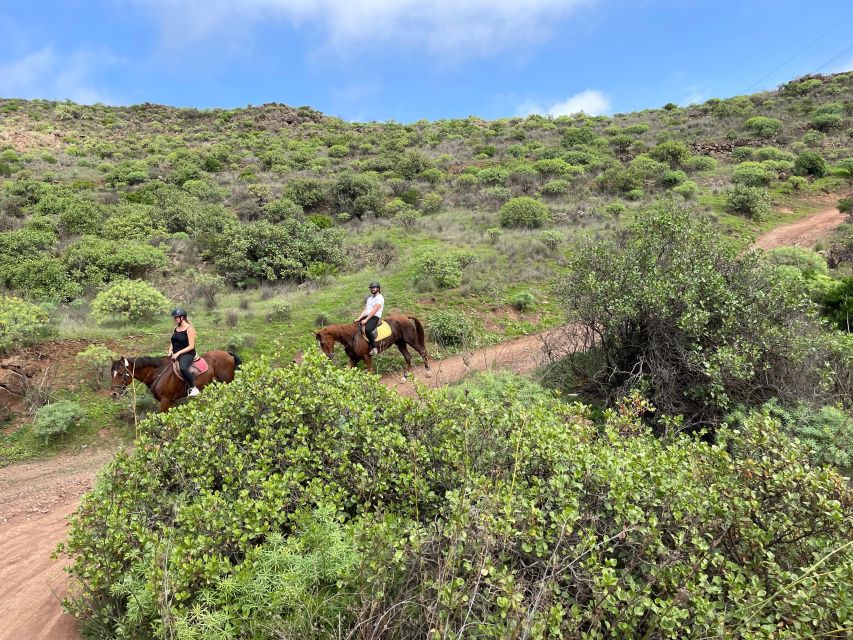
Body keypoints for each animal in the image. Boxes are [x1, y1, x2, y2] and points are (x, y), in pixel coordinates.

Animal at [111, 348, 241, 412]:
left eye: (121, 374)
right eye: (112, 374)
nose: (113, 394)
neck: (158, 373)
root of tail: (228, 354)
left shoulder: (165, 401)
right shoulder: (170, 402)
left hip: (227, 383)